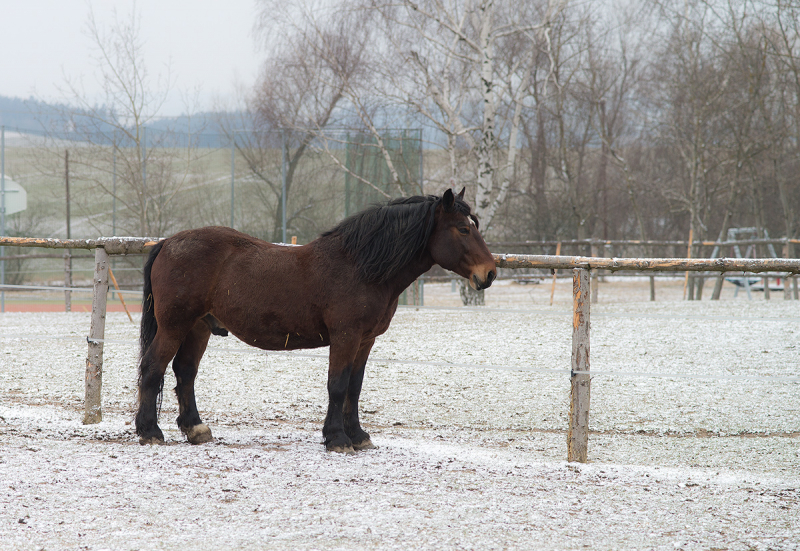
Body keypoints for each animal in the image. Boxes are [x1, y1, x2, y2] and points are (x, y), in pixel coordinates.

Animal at [137, 188, 496, 450]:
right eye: (463, 228)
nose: (489, 273)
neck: (360, 267)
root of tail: (167, 243)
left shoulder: (365, 340)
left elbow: (354, 387)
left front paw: (358, 436)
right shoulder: (345, 337)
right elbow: (337, 385)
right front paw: (337, 438)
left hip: (199, 327)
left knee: (185, 372)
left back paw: (195, 429)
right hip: (174, 326)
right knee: (153, 368)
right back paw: (150, 431)